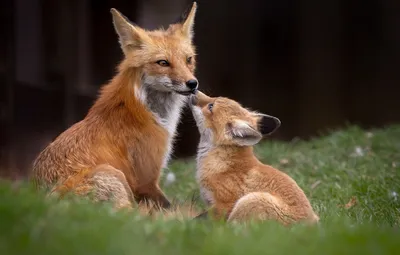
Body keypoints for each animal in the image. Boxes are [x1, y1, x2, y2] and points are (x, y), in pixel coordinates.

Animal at [30, 2, 198, 209]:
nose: (193, 84)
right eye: (163, 63)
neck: (149, 110)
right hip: (113, 175)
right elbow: (167, 208)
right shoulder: (146, 180)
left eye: (188, 59)